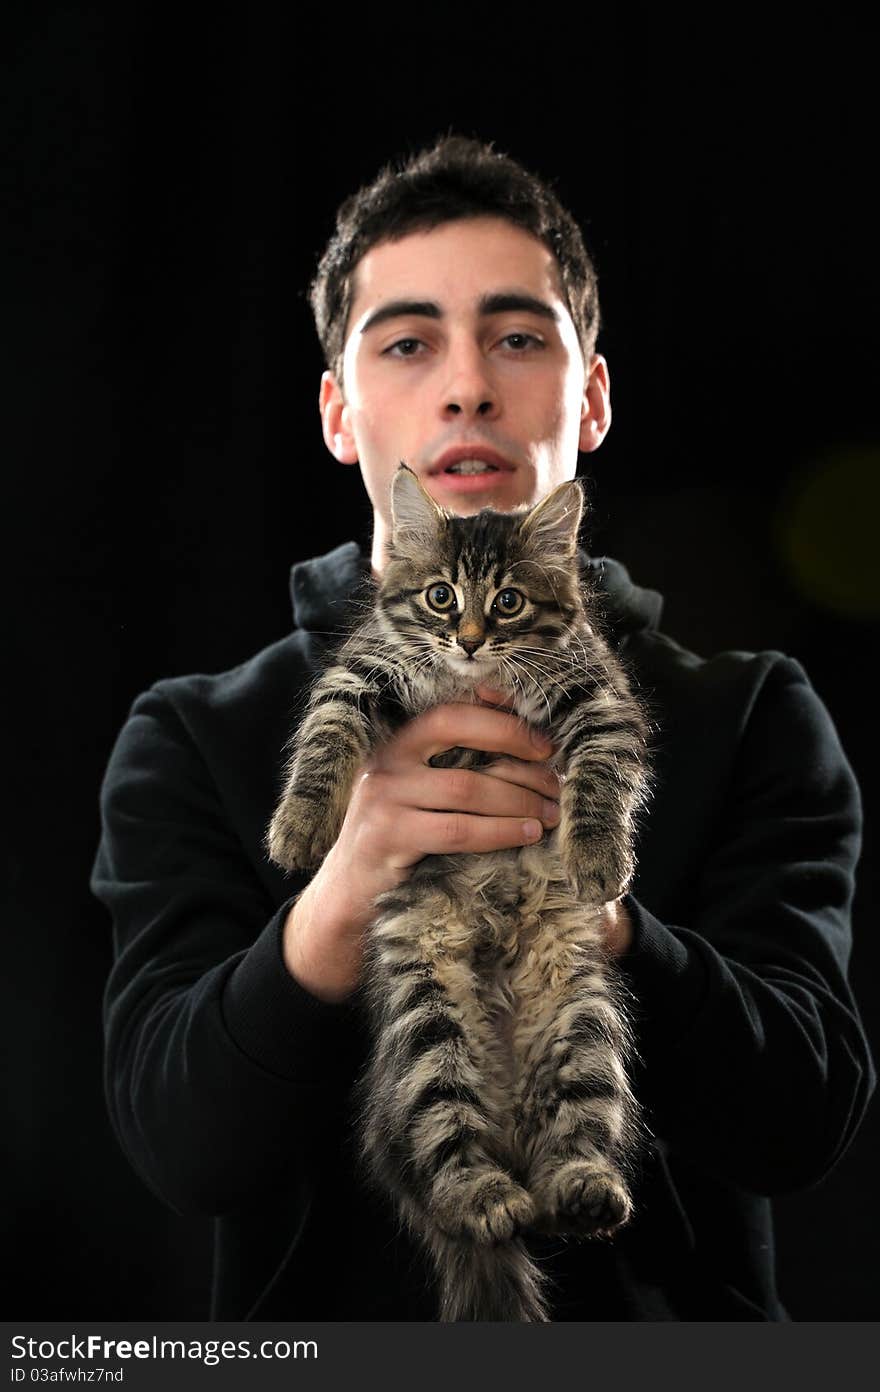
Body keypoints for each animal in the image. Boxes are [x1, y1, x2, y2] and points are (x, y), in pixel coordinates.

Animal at [268, 462, 654, 1319]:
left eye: (507, 602)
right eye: (442, 597)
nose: (471, 639)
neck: (474, 680)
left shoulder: (602, 700)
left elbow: (601, 782)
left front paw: (597, 859)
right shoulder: (358, 672)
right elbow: (323, 741)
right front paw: (302, 830)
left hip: (584, 1022)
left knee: (577, 1136)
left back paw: (583, 1190)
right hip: (426, 1023)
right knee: (444, 1152)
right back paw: (486, 1196)